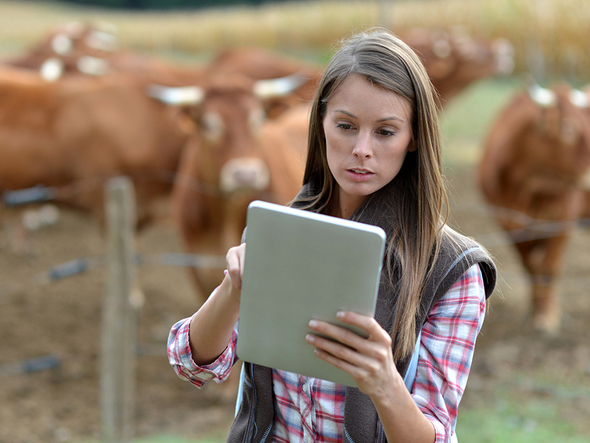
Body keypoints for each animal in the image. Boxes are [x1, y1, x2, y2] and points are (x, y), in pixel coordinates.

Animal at [478, 81, 590, 334]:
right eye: (568, 129)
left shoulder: (561, 220)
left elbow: (549, 267)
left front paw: (548, 315)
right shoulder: (508, 221)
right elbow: (530, 265)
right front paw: (535, 309)